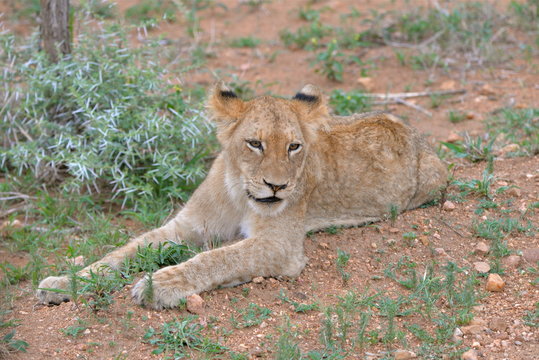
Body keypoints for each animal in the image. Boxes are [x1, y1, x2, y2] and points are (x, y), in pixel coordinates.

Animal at [37, 83, 448, 308]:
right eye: (255, 143)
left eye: (294, 146)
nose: (277, 186)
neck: (239, 192)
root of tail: (417, 136)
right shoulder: (186, 225)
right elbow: (125, 250)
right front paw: (65, 282)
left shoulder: (280, 246)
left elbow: (218, 258)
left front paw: (159, 285)